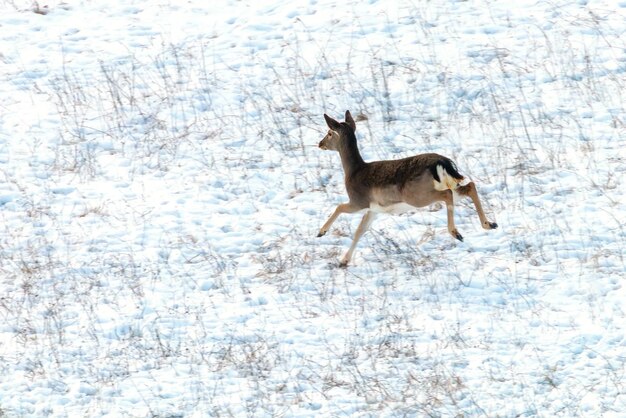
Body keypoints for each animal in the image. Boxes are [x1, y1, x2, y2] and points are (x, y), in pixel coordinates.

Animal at [316, 111, 498, 266]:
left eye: (330, 132)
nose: (320, 143)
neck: (352, 171)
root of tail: (442, 162)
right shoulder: (373, 210)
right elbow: (360, 231)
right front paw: (344, 261)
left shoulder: (359, 201)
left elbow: (339, 207)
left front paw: (321, 232)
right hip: (449, 186)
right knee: (470, 186)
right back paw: (489, 224)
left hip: (418, 195)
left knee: (447, 195)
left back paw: (456, 232)